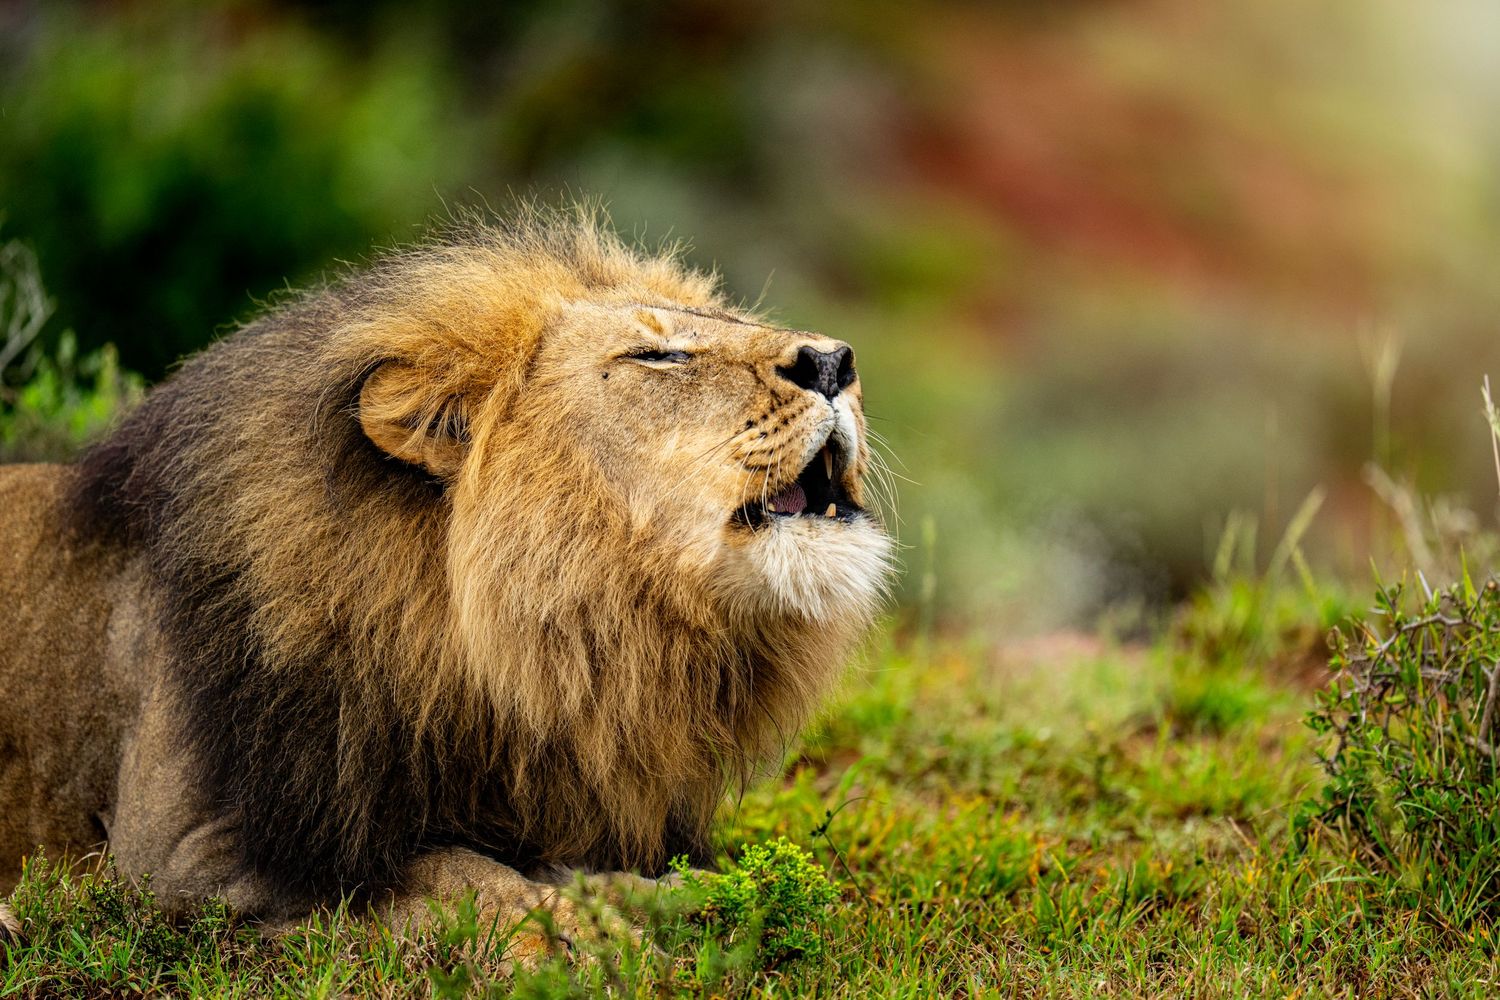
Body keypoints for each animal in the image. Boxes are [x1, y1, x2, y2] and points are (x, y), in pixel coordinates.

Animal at [0, 210, 892, 957]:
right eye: (659, 354)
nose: (837, 363)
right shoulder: (184, 853)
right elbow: (450, 870)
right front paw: (571, 939)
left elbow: (564, 868)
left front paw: (686, 899)